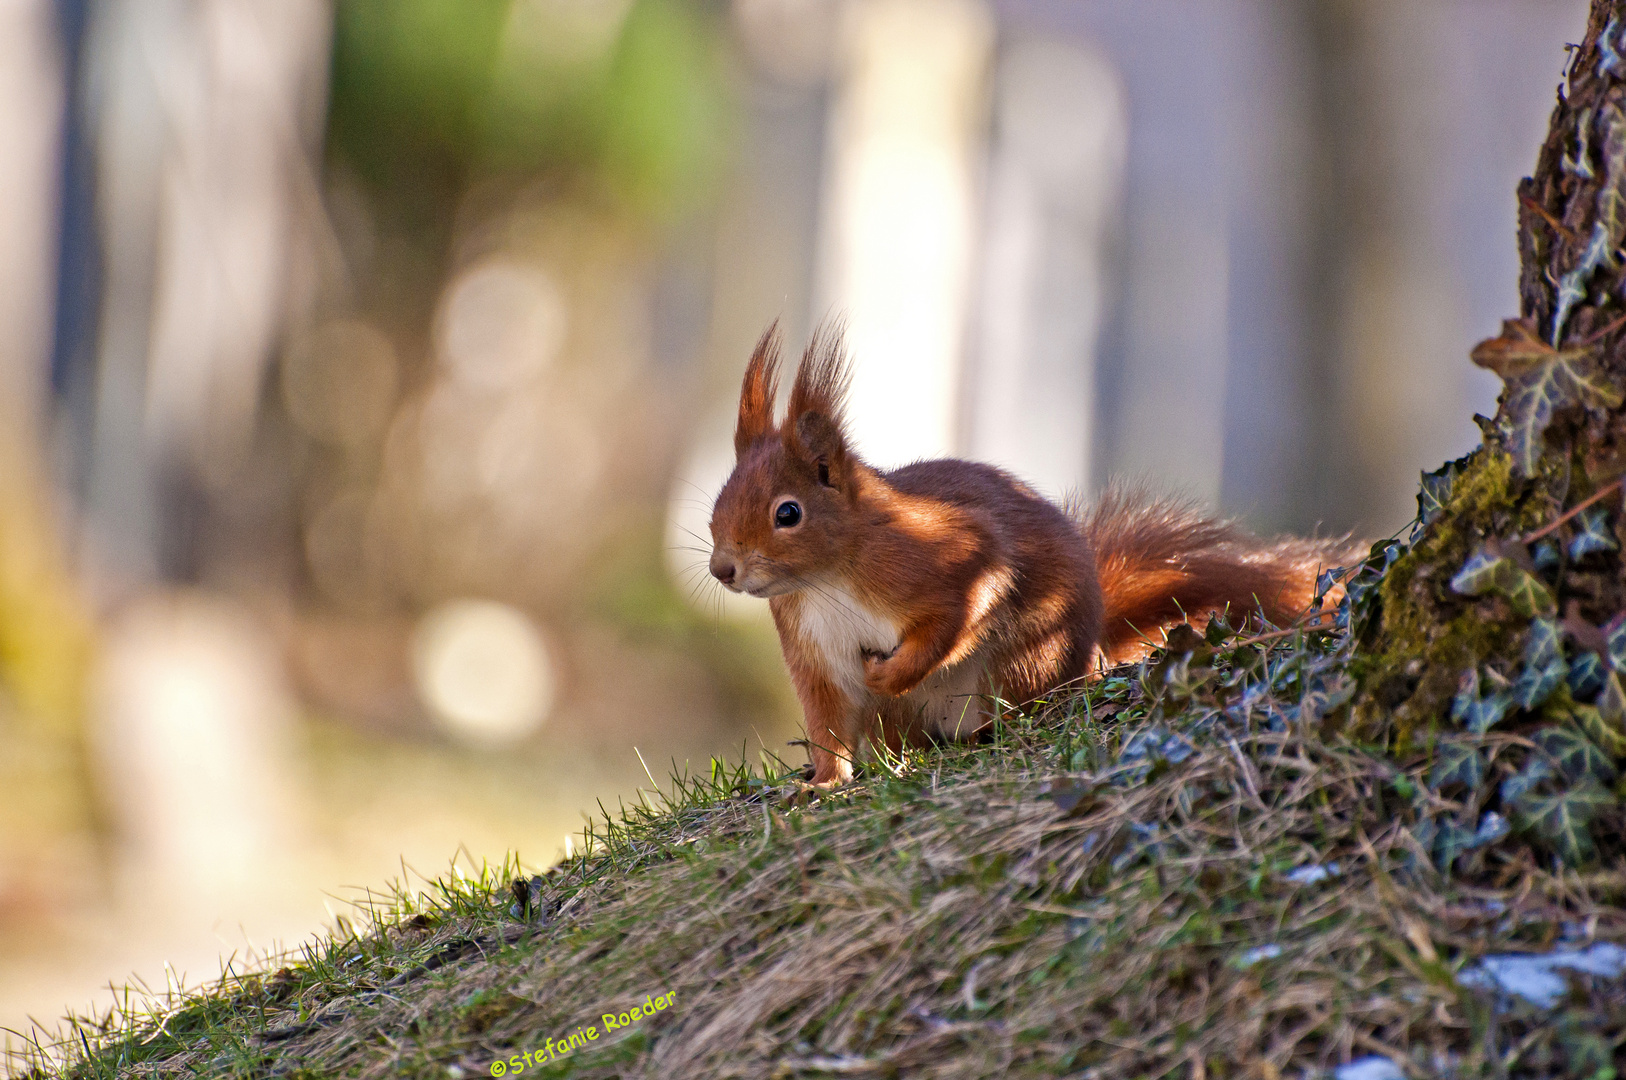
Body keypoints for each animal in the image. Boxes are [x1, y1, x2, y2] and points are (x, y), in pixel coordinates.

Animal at [705, 325, 1365, 790]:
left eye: (788, 513)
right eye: (719, 498)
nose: (722, 570)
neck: (826, 580)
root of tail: (1092, 649)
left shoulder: (947, 559)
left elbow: (958, 612)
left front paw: (890, 672)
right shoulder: (812, 651)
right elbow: (826, 723)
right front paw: (823, 784)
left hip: (1024, 658)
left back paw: (994, 728)